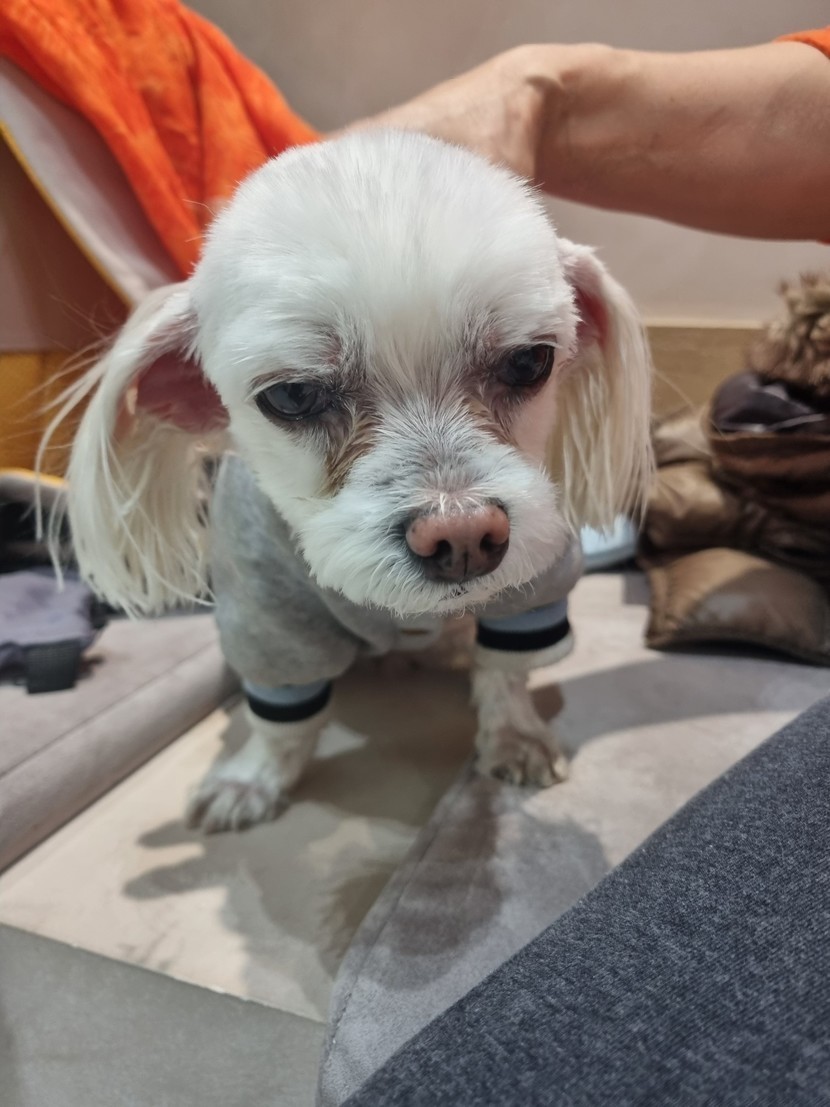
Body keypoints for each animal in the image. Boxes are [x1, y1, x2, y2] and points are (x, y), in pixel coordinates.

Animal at [56, 130, 653, 832]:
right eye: (291, 396)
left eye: (530, 361)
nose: (463, 536)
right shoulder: (269, 618)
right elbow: (281, 722)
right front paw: (251, 780)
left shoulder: (533, 584)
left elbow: (504, 672)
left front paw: (514, 737)